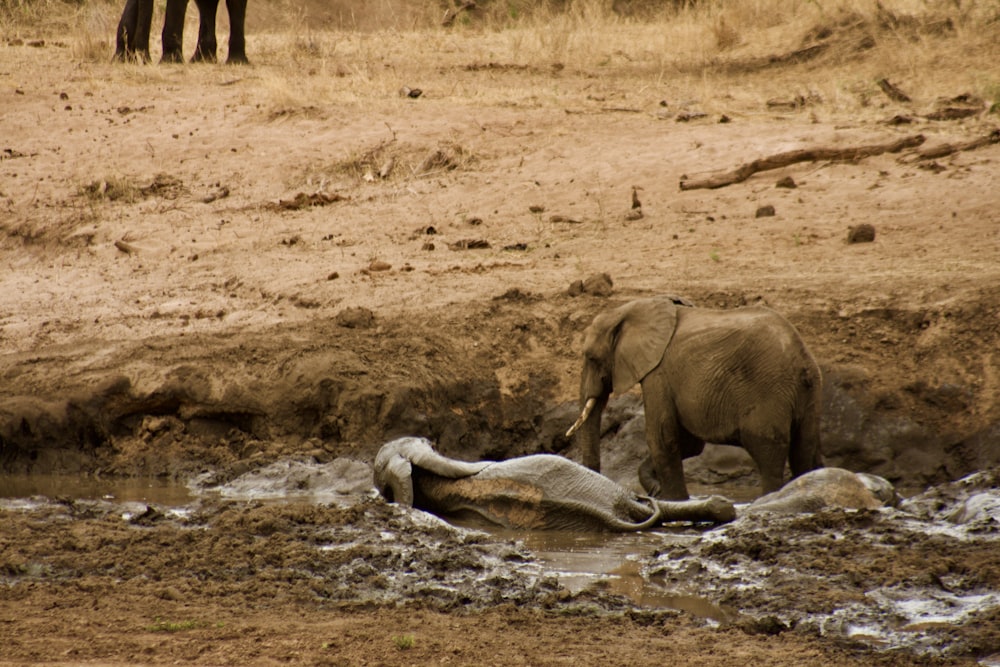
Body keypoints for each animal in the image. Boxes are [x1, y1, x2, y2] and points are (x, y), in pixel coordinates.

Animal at [568, 298, 824, 500]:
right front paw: (659, 491)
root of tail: (802, 358)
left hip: (769, 392)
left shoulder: (659, 373)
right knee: (804, 451)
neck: (633, 309)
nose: (652, 492)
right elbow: (688, 443)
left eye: (590, 358)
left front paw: (673, 501)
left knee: (769, 455)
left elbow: (663, 437)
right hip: (808, 393)